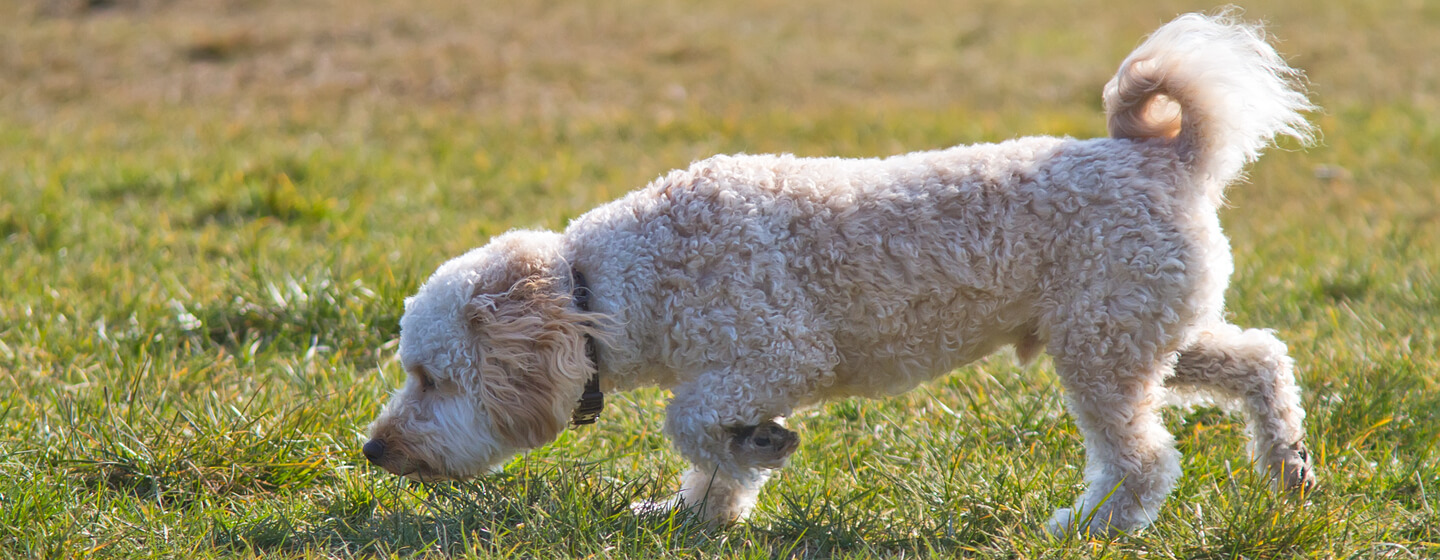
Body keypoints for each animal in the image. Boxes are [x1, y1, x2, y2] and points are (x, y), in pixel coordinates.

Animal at [362, 13, 1319, 535]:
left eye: (432, 377)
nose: (372, 451)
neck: (604, 287)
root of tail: (1166, 156)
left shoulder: (774, 354)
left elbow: (690, 421)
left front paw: (756, 451)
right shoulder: (739, 372)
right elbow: (712, 461)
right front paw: (697, 512)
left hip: (1102, 351)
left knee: (1145, 460)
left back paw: (1084, 528)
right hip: (1144, 330)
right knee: (1262, 359)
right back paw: (1289, 467)